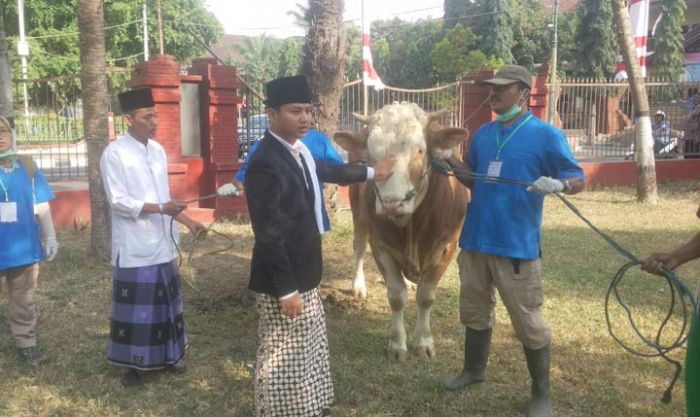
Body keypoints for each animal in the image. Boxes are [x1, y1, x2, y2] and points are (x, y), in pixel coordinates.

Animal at [334, 102, 470, 360]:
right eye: (371, 155)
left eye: (420, 151)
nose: (392, 203)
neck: (411, 230)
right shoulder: (380, 245)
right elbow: (396, 296)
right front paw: (397, 344)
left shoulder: (448, 246)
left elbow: (426, 297)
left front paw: (423, 342)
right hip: (359, 216)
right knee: (359, 247)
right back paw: (359, 286)